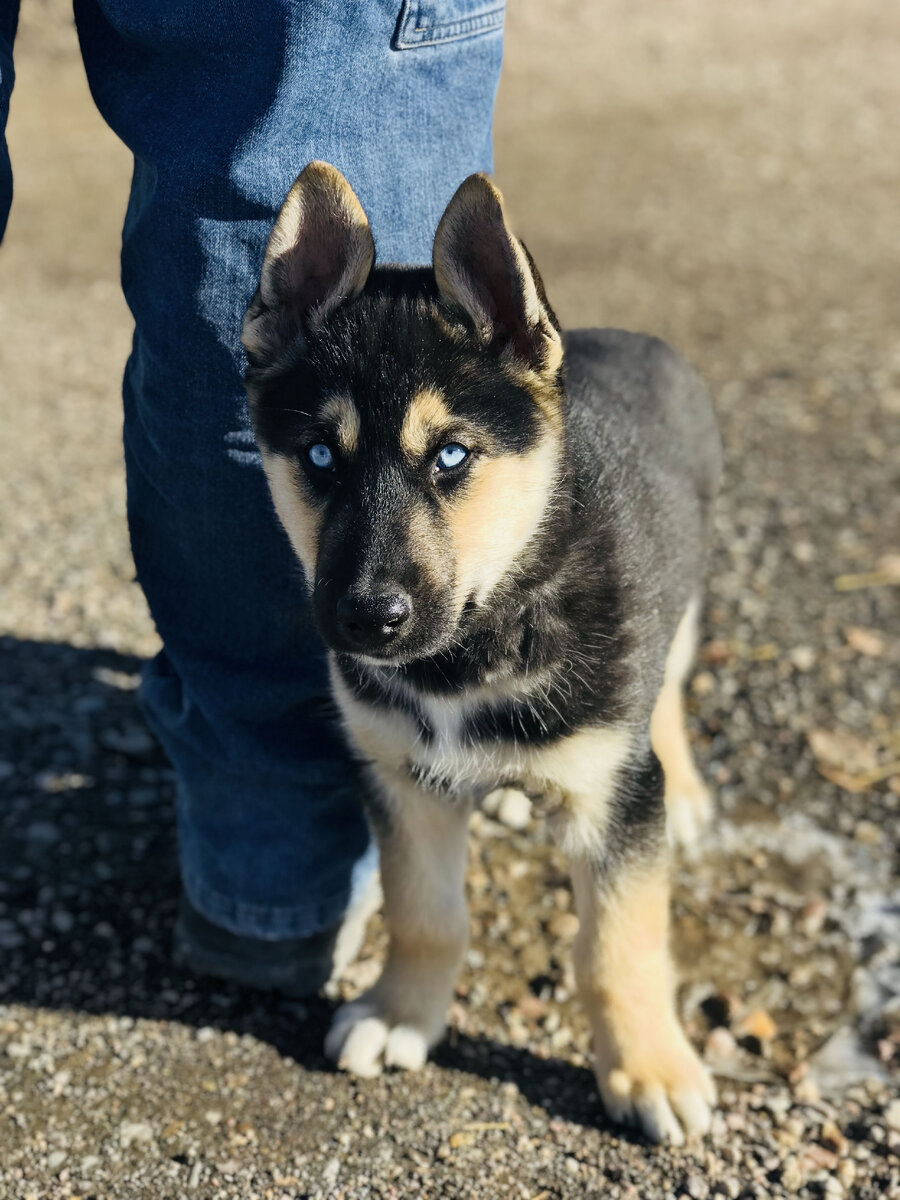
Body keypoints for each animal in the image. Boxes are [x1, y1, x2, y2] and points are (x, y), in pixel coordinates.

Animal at [241, 162, 724, 1142]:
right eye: (319, 457)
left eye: (453, 456)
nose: (369, 619)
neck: (481, 638)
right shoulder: (398, 777)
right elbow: (427, 914)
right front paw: (402, 1015)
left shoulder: (617, 799)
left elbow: (618, 946)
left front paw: (649, 1070)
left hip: (684, 596)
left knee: (667, 691)